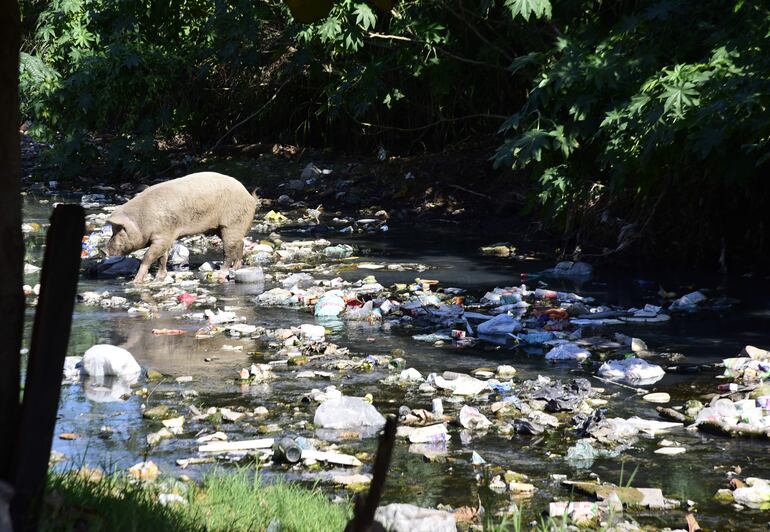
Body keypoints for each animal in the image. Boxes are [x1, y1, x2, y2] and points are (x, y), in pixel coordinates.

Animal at [105, 174, 258, 282]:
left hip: (231, 223)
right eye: (113, 230)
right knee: (240, 243)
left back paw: (222, 273)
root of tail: (249, 196)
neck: (142, 220)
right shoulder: (165, 237)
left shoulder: (163, 236)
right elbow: (163, 257)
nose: (104, 250)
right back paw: (236, 267)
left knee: (229, 250)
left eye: (119, 230)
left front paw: (135, 282)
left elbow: (148, 256)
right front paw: (160, 277)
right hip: (222, 228)